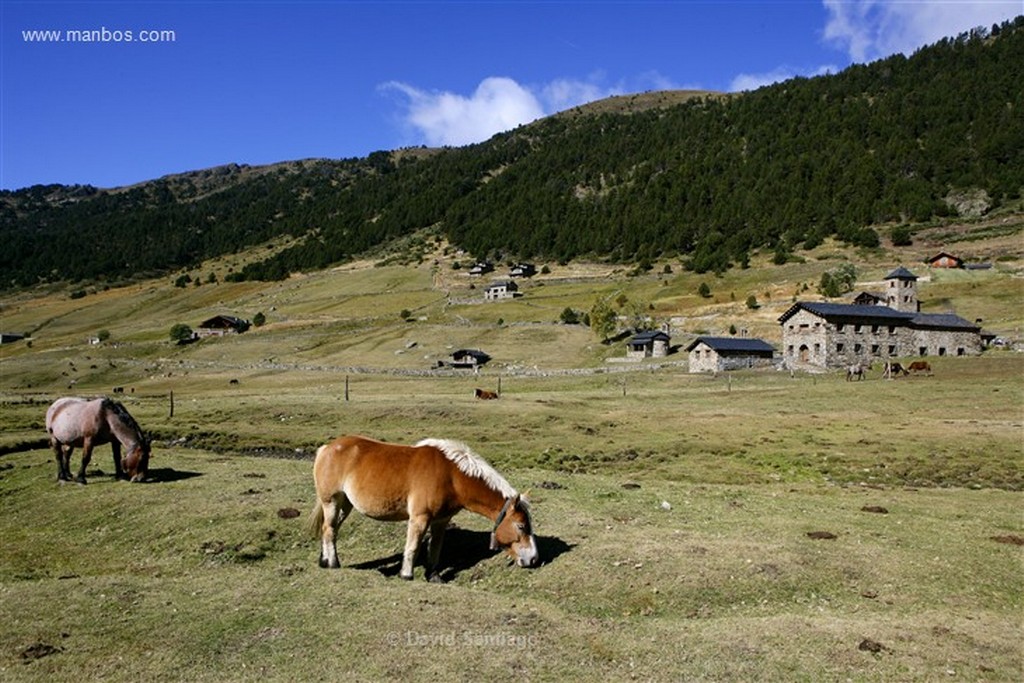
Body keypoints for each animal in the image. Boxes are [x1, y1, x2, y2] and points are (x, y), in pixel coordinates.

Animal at [309, 436, 536, 581]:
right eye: (521, 526)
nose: (533, 559)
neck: (451, 476)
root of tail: (327, 448)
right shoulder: (419, 518)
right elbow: (412, 547)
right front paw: (406, 575)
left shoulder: (441, 521)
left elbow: (435, 549)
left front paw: (433, 575)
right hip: (331, 501)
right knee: (329, 530)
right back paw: (333, 563)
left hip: (345, 505)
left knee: (331, 530)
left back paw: (324, 560)